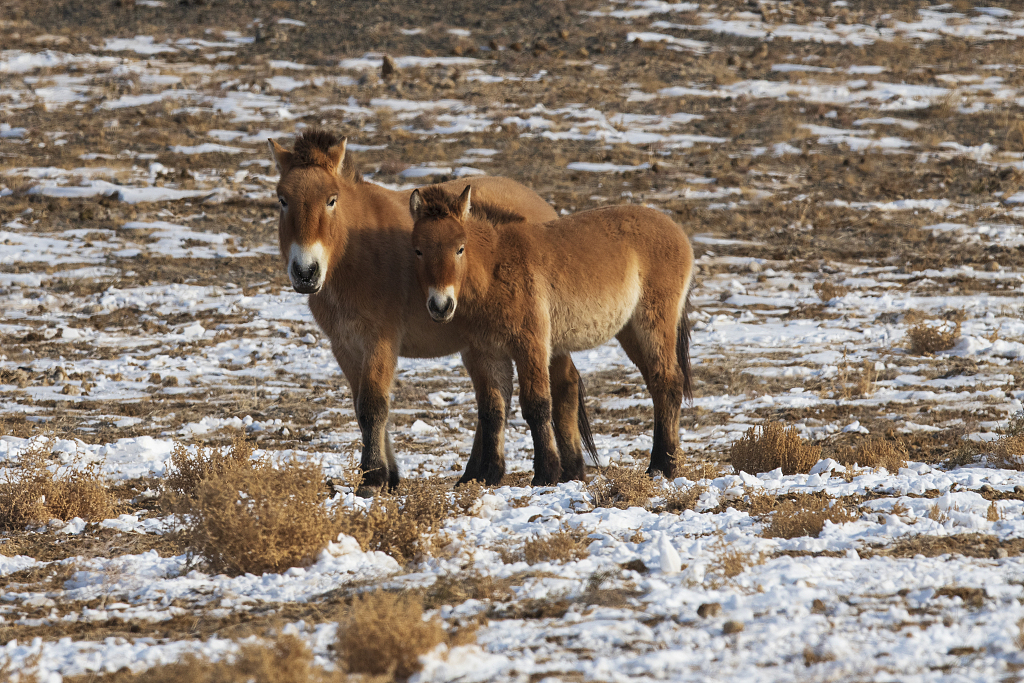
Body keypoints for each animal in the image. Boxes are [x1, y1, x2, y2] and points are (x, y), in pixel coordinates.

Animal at [268, 130, 595, 492]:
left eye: (331, 199)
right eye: (282, 199)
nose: (306, 272)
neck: (355, 252)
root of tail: (543, 208)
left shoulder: (380, 342)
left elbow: (372, 407)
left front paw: (374, 478)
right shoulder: (345, 347)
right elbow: (361, 408)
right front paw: (388, 476)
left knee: (562, 385)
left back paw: (569, 470)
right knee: (498, 398)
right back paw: (477, 473)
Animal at [409, 184, 694, 484]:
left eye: (460, 249)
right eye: (418, 251)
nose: (441, 306)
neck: (494, 269)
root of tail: (675, 229)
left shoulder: (530, 345)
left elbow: (536, 405)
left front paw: (546, 473)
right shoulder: (485, 355)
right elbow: (492, 411)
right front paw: (489, 474)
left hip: (653, 324)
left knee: (667, 382)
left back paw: (663, 465)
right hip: (630, 332)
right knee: (659, 384)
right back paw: (663, 462)